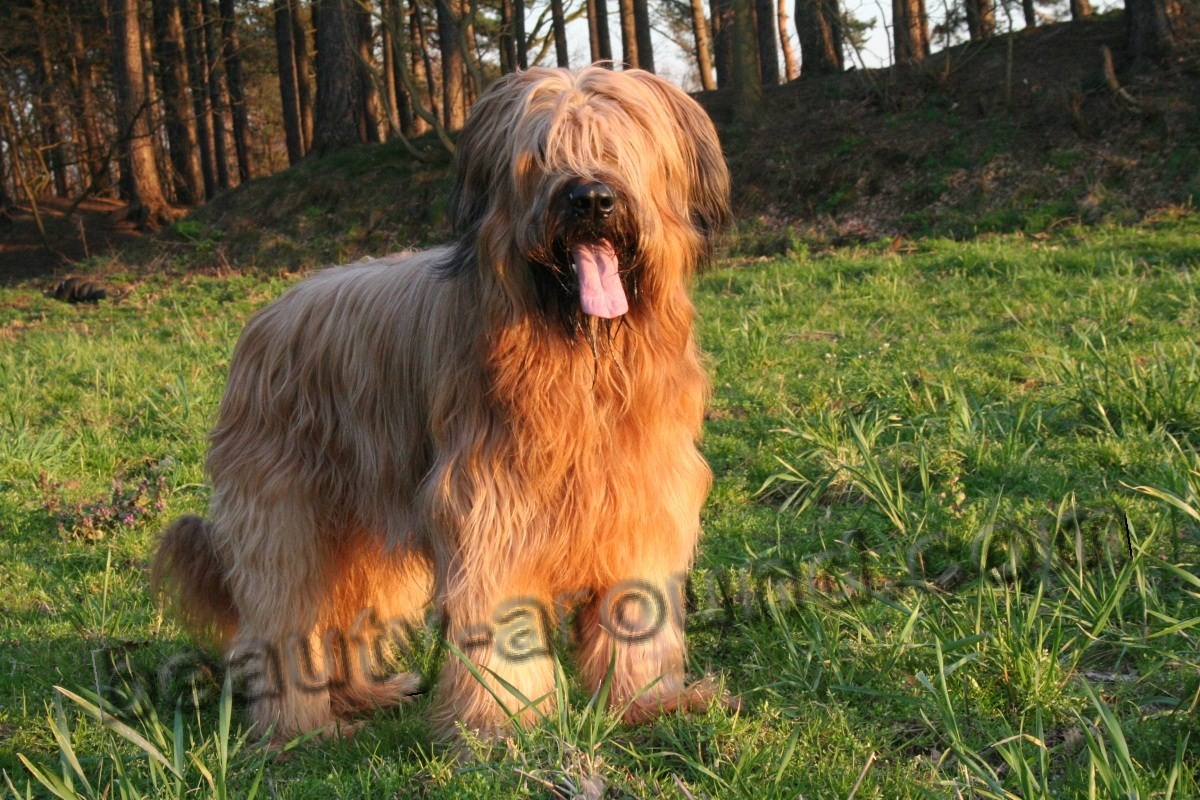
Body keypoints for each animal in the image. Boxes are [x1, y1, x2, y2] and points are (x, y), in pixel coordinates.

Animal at [150, 65, 729, 743]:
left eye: (617, 146)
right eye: (542, 153)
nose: (589, 199)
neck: (582, 359)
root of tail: (266, 317)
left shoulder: (641, 500)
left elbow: (635, 611)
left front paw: (647, 703)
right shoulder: (493, 508)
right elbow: (500, 616)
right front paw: (504, 724)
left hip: (366, 529)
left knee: (349, 606)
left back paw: (365, 694)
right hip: (286, 514)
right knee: (286, 613)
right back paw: (301, 726)